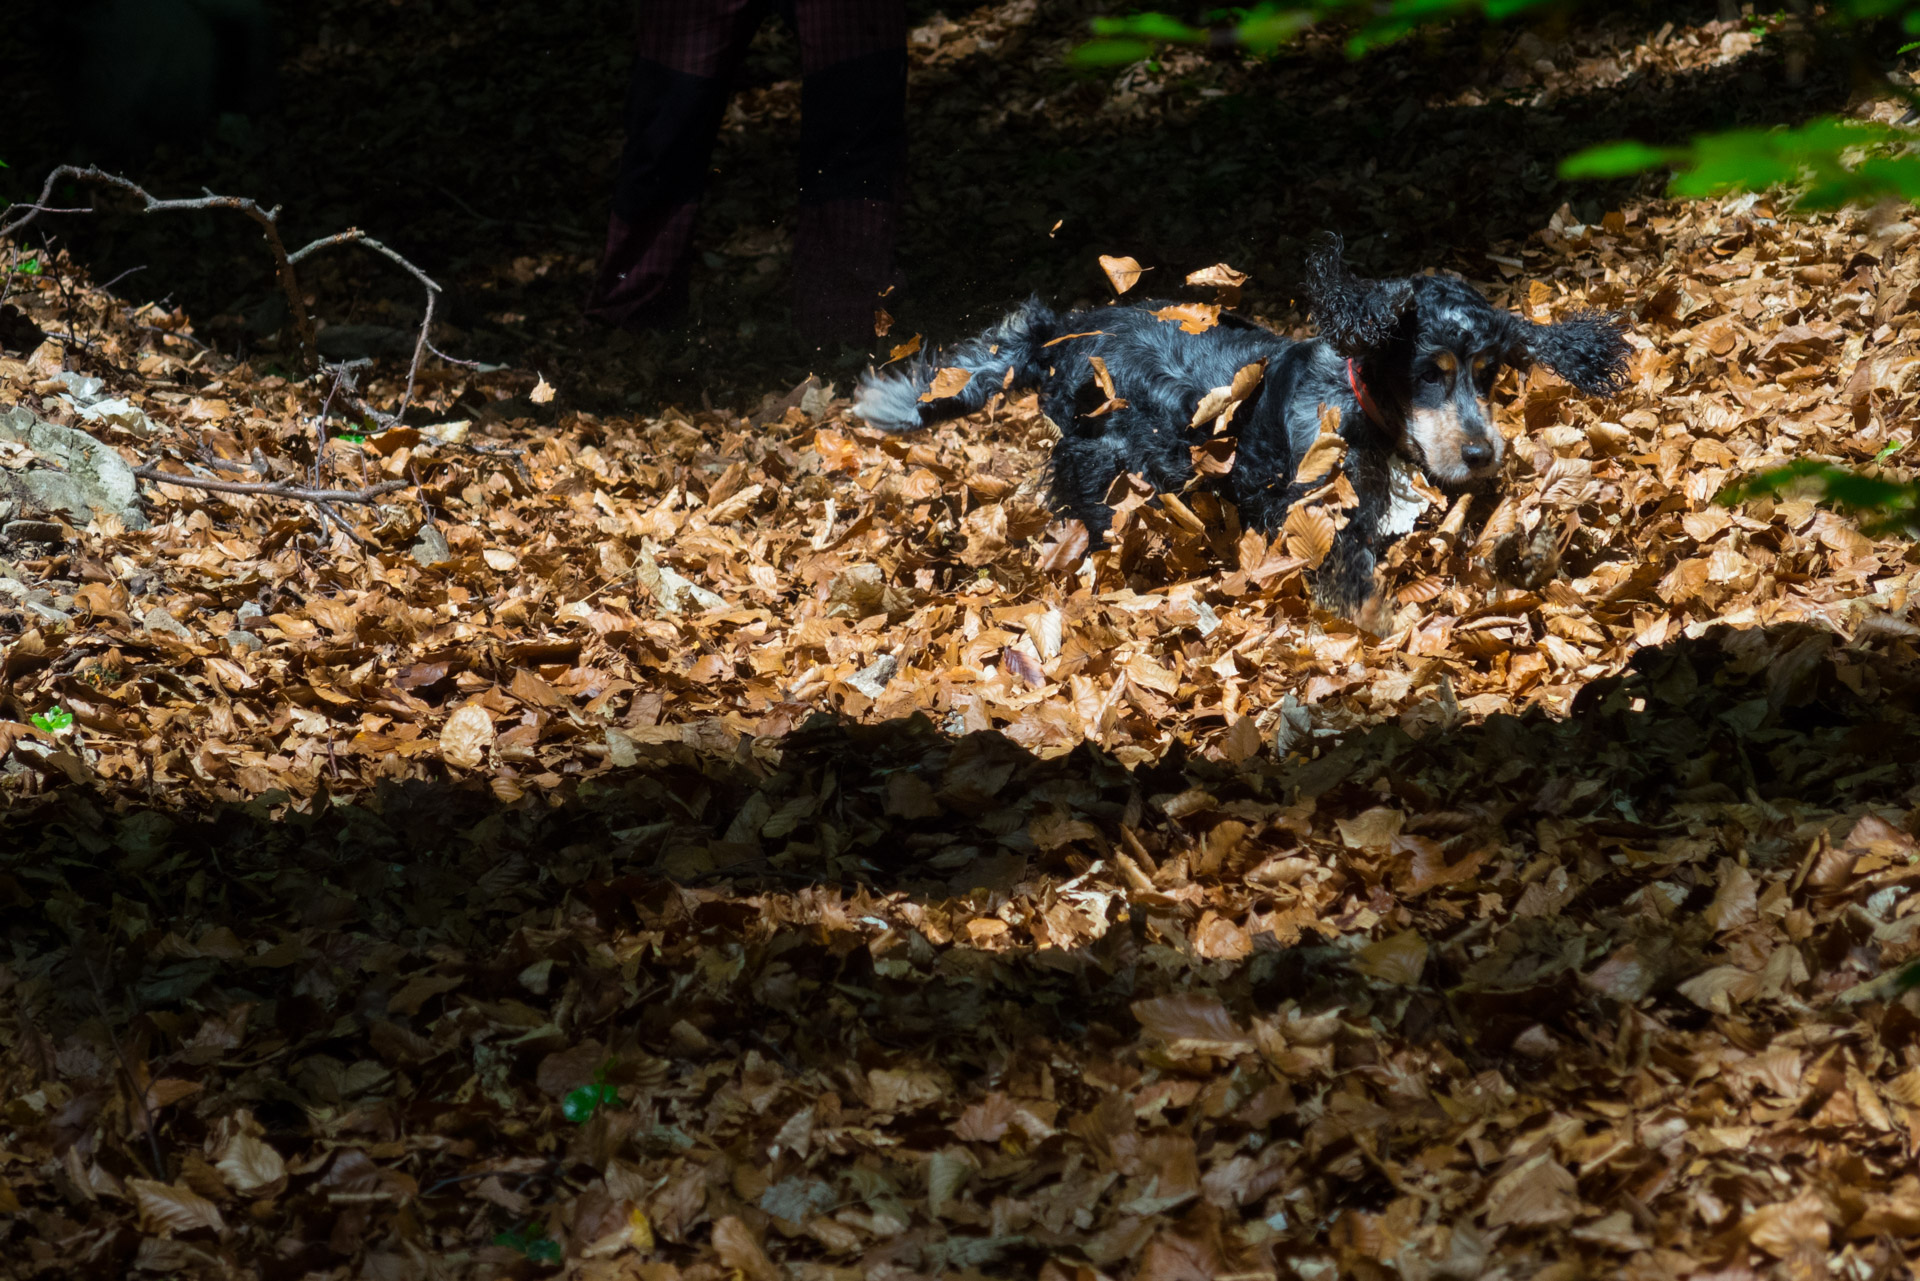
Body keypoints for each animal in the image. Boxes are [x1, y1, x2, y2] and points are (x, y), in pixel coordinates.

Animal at [848, 238, 1628, 622]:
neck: (1362, 413)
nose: (1479, 452)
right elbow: (1353, 568)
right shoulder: (1314, 510)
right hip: (1106, 461)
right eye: (1429, 373)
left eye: (1490, 374)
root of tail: (1056, 333)